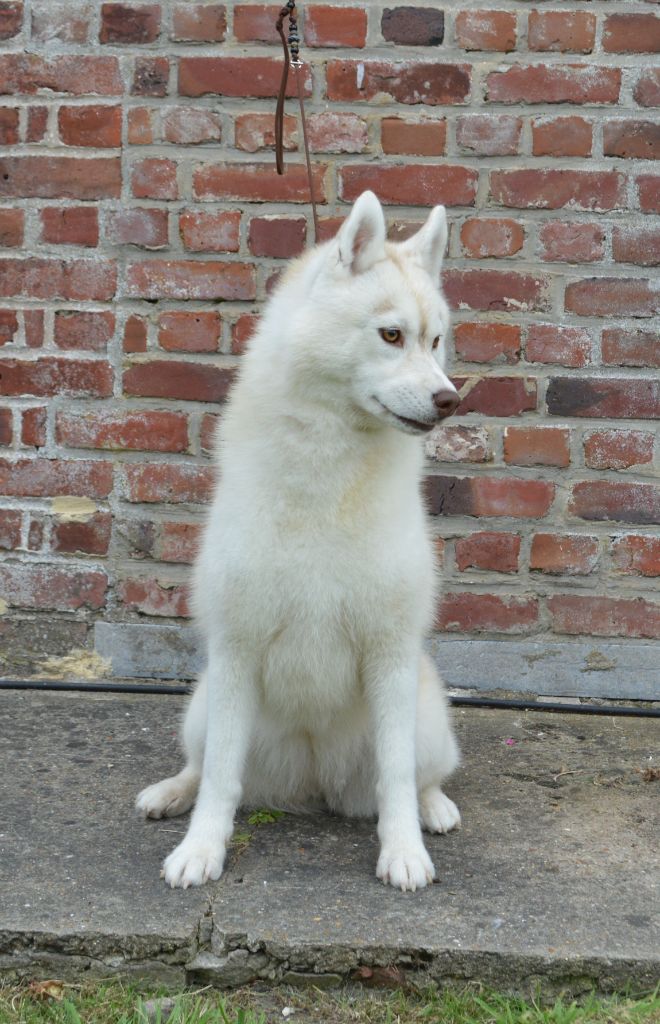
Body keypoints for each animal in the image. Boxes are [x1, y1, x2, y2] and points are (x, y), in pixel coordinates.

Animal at [136, 190, 462, 892]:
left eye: (436, 340)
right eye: (391, 335)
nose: (450, 399)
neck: (327, 474)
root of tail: (315, 783)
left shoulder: (390, 653)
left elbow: (396, 777)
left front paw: (404, 850)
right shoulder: (237, 651)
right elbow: (220, 780)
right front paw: (201, 848)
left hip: (426, 720)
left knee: (419, 774)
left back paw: (434, 807)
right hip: (202, 707)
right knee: (202, 766)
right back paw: (170, 793)